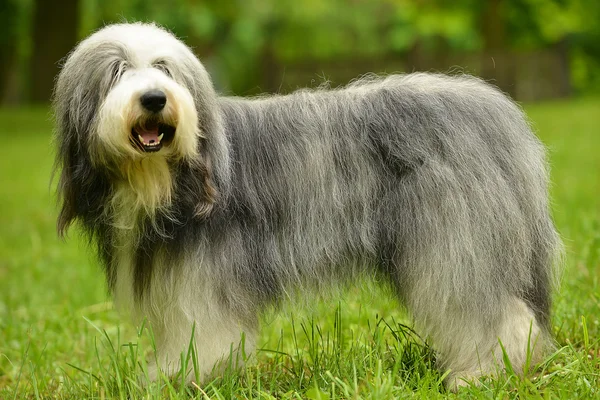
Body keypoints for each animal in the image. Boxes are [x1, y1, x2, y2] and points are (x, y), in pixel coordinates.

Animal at [52, 22, 564, 390]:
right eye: (117, 71)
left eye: (164, 69)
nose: (155, 98)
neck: (161, 180)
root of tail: (497, 111)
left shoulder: (204, 281)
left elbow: (205, 336)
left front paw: (178, 380)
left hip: (453, 240)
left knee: (488, 309)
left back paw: (482, 373)